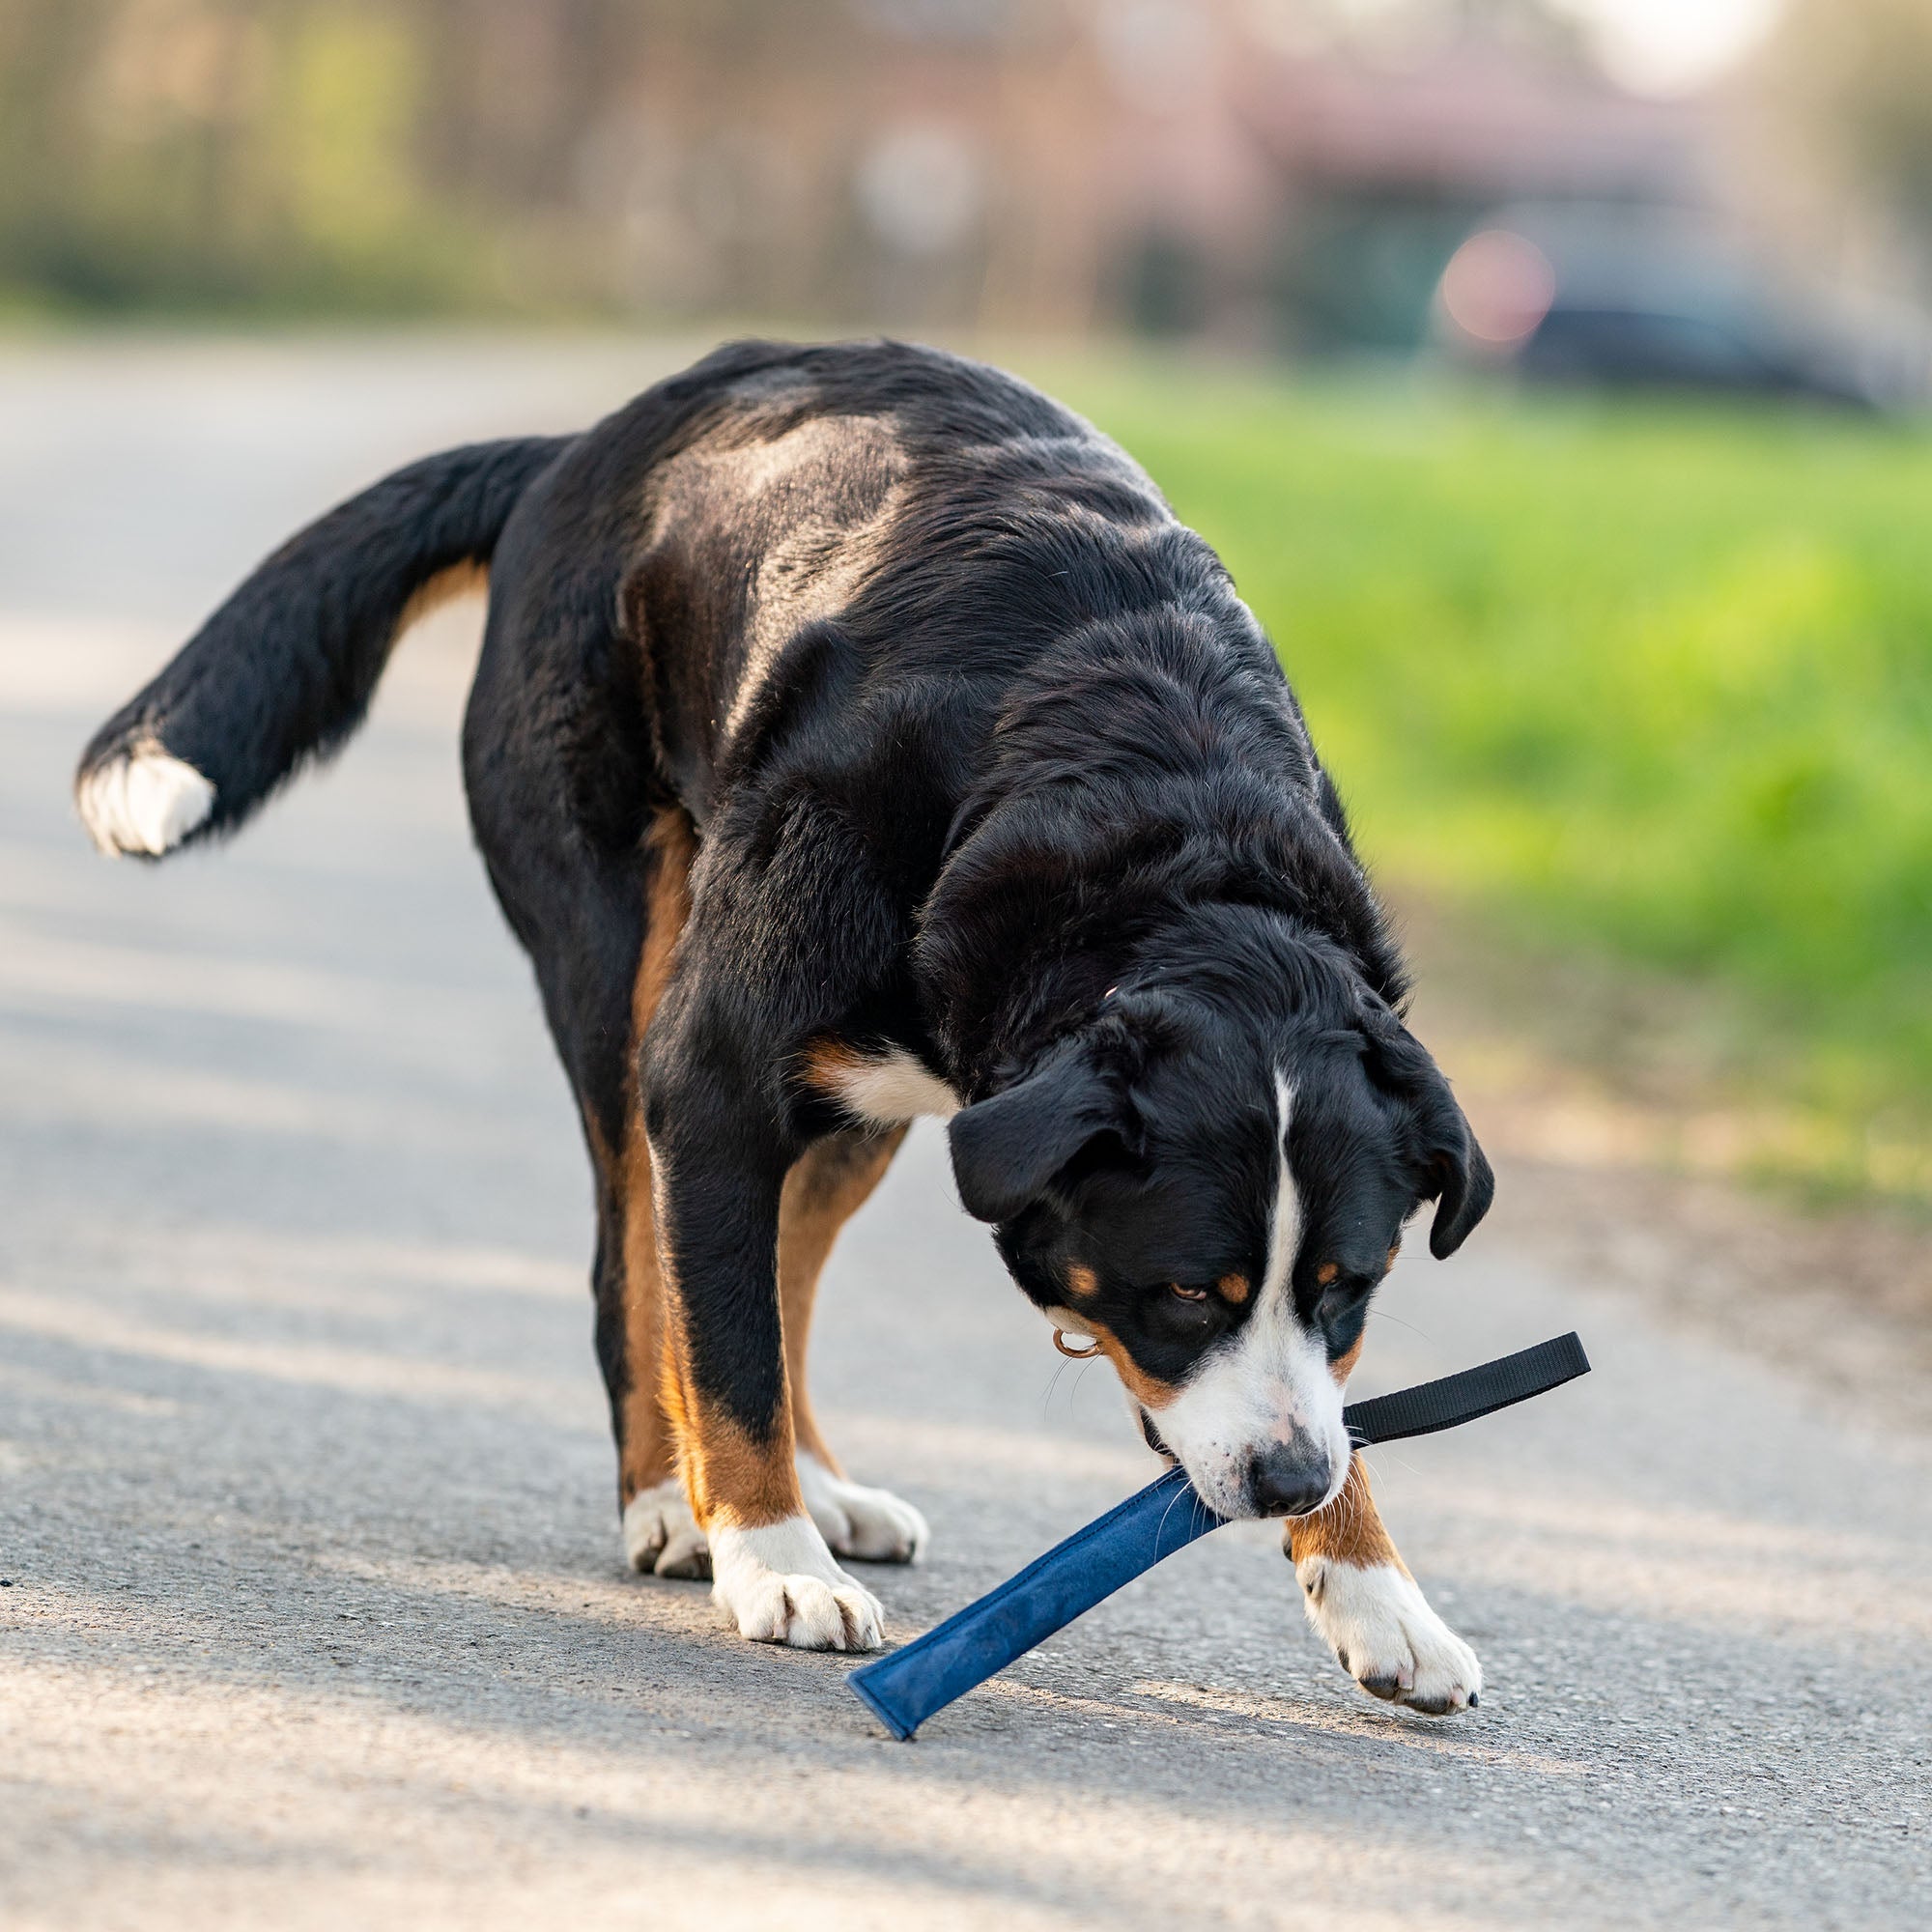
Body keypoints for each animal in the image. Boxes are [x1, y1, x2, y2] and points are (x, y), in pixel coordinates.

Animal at [75, 340, 1492, 1716]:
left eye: (1349, 1286)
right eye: (1189, 1291)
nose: (1289, 1482)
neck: (1151, 820)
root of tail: (582, 445)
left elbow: (767, 1311)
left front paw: (1379, 1593)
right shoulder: (705, 1081)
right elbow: (725, 1347)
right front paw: (767, 1555)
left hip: (864, 1100)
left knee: (783, 1268)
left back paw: (821, 1487)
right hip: (617, 978)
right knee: (642, 1274)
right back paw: (676, 1501)